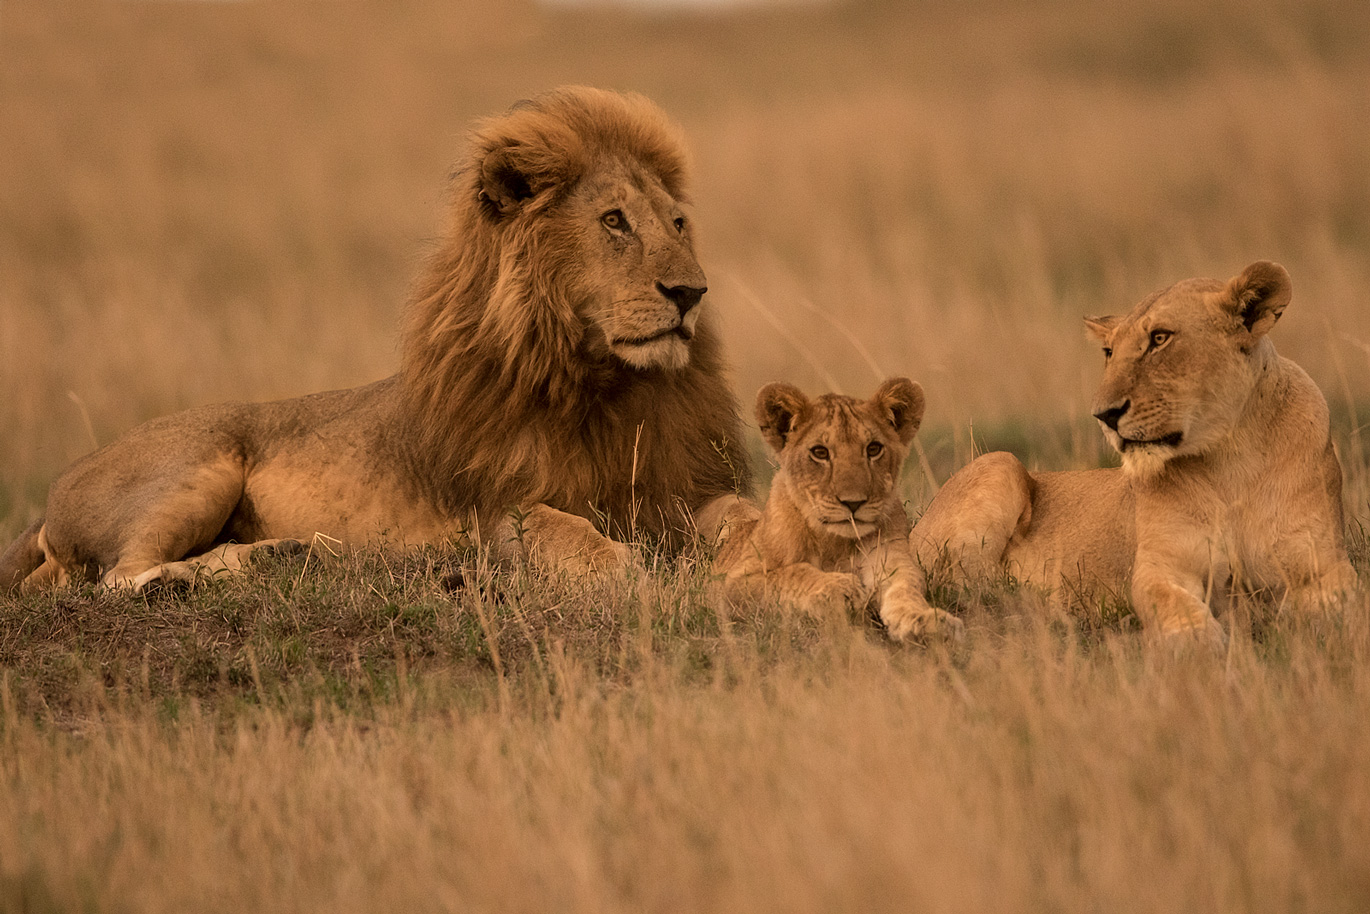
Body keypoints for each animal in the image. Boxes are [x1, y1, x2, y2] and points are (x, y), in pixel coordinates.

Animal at [0, 82, 750, 589]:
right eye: (614, 221)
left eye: (677, 223)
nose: (690, 294)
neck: (602, 382)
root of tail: (49, 501)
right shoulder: (491, 512)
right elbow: (555, 524)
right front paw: (620, 566)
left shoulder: (677, 486)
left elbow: (738, 510)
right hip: (197, 467)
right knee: (117, 576)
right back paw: (200, 579)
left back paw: (281, 555)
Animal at [717, 378, 964, 644]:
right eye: (820, 452)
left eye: (873, 449)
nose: (853, 503)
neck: (835, 543)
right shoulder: (733, 584)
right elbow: (789, 574)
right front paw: (840, 586)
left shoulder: (891, 559)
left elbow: (905, 588)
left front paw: (925, 621)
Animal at [909, 257, 1359, 644]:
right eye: (1109, 352)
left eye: (1159, 338)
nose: (1104, 415)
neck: (1231, 458)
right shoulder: (1161, 566)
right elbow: (1171, 603)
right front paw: (1198, 641)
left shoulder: (1323, 562)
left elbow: (1344, 607)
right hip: (998, 465)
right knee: (964, 586)